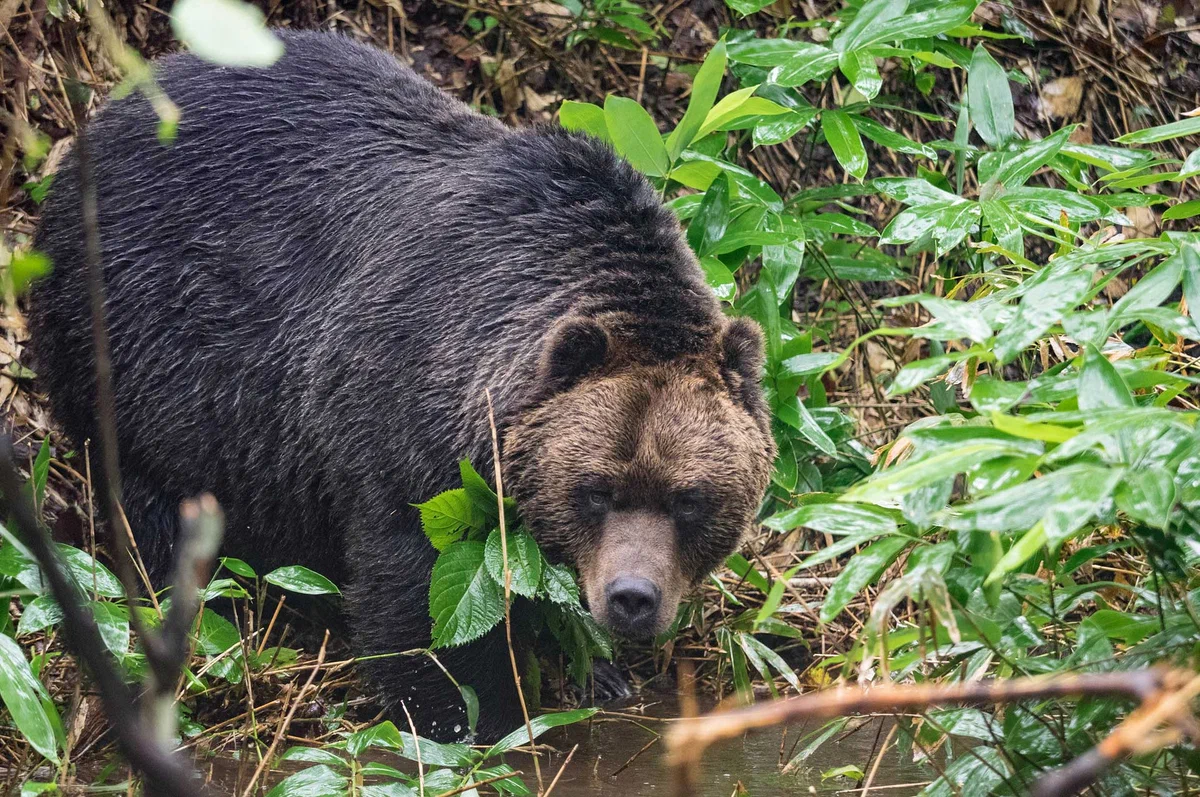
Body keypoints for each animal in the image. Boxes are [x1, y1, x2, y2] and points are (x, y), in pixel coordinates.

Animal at [32, 31, 777, 739]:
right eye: (596, 489)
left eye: (689, 498)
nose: (632, 597)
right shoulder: (402, 416)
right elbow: (415, 597)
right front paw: (470, 714)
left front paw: (596, 671)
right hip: (139, 347)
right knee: (155, 500)